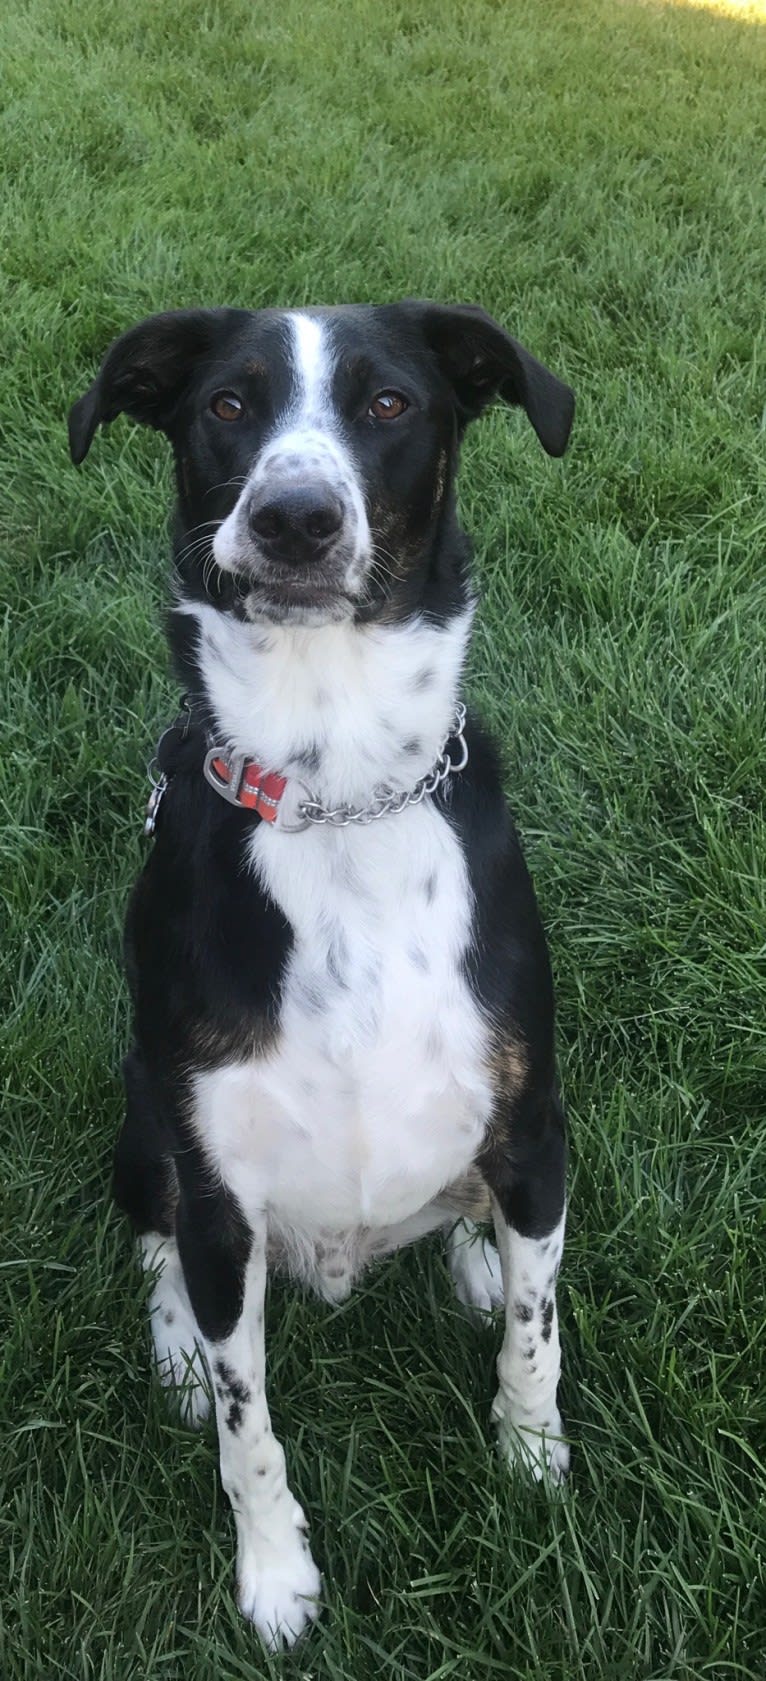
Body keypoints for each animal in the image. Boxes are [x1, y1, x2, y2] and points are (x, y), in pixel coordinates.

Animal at [68, 299, 574, 1640]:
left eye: (390, 402)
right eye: (226, 404)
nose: (296, 517)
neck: (339, 789)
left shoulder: (541, 1125)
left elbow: (536, 1331)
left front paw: (531, 1457)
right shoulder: (220, 1191)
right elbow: (247, 1429)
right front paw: (275, 1574)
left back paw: (470, 1251)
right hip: (140, 1121)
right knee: (154, 1240)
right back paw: (175, 1344)